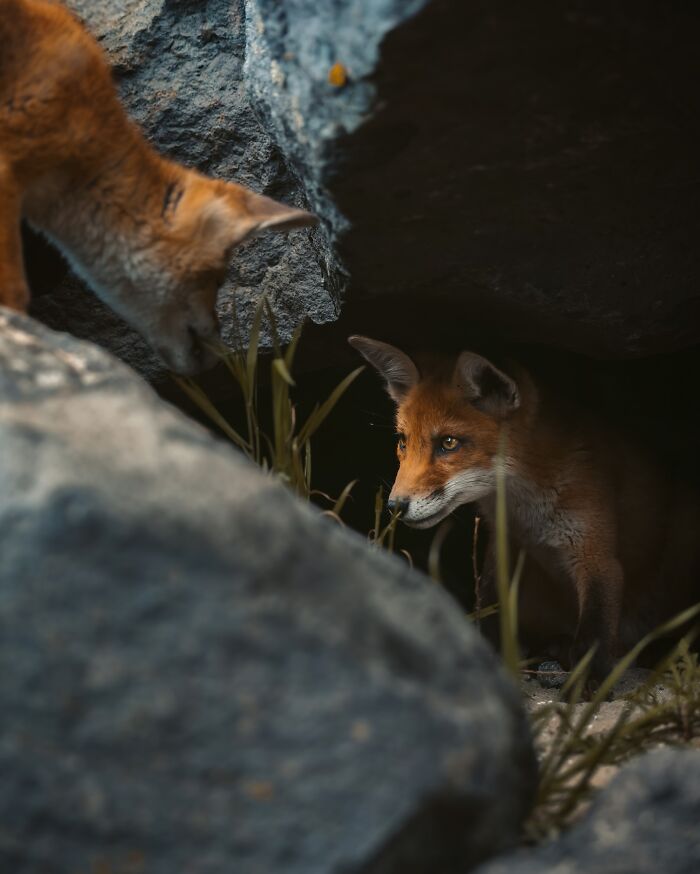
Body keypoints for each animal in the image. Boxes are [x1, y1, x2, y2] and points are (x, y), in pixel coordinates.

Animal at [349, 335, 700, 680]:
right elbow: (487, 608)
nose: (395, 506)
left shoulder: (598, 558)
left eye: (448, 443)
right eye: (403, 442)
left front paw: (584, 688)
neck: (530, 515)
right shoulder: (503, 547)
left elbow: (593, 638)